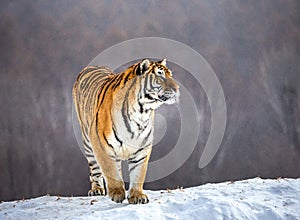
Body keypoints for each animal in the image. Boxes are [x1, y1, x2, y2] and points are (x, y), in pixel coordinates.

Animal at [72, 58, 180, 205]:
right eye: (160, 75)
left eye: (170, 75)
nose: (177, 88)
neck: (141, 112)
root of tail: (92, 66)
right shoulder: (100, 144)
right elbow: (110, 170)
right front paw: (117, 193)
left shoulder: (142, 147)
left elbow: (138, 173)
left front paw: (137, 196)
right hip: (88, 142)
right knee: (95, 169)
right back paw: (97, 189)